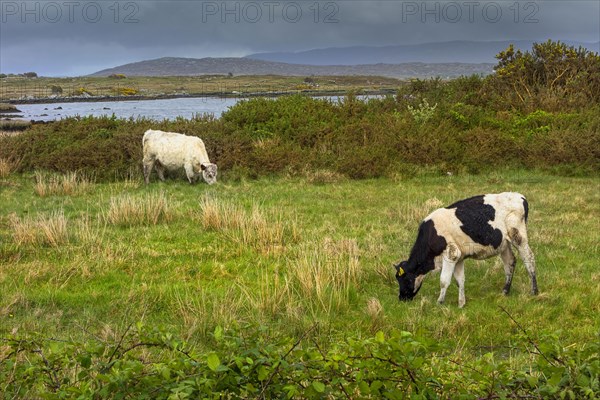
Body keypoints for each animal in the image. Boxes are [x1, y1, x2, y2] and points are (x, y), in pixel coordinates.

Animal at [394, 192, 540, 308]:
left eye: (406, 279)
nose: (402, 298)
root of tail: (520, 196)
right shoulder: (459, 257)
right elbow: (460, 280)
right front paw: (461, 303)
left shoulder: (451, 254)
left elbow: (444, 280)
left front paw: (439, 302)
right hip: (503, 243)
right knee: (510, 262)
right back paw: (505, 291)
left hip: (518, 236)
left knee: (529, 258)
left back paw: (534, 292)